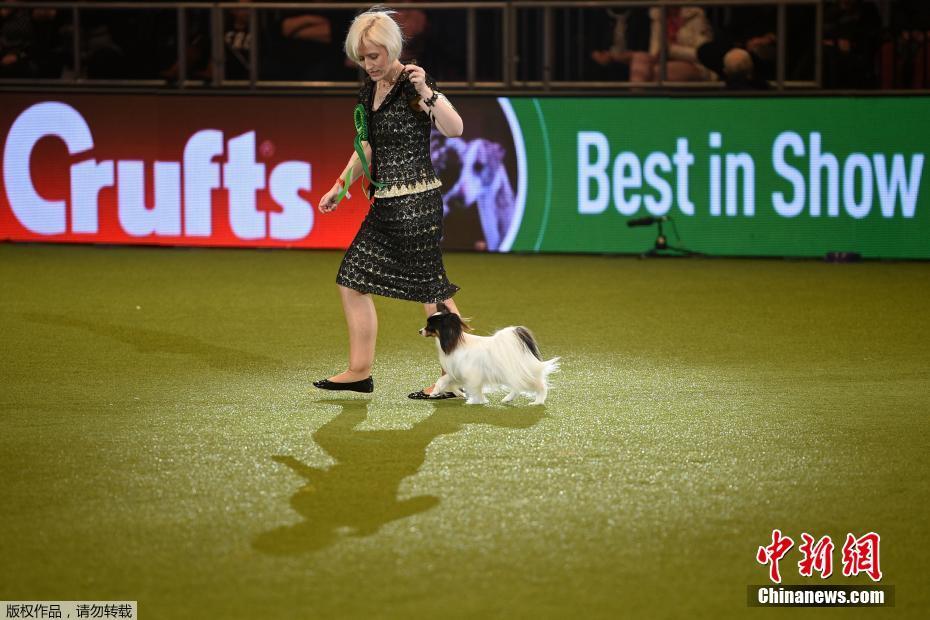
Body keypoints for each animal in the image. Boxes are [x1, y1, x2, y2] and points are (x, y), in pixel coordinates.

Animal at [419, 303, 560, 405]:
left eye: (430, 325)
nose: (420, 331)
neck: (455, 342)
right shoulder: (456, 371)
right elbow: (443, 380)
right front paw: (439, 392)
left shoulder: (471, 375)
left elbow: (475, 389)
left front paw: (477, 401)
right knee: (517, 387)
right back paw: (507, 399)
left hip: (520, 374)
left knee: (540, 386)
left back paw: (538, 402)